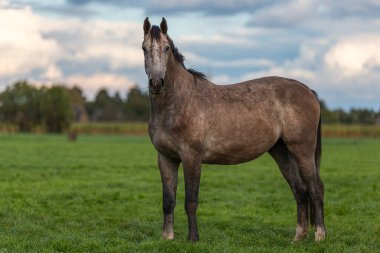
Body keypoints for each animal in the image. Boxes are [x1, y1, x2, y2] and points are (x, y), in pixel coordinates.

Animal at [141, 16, 326, 242]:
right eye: (144, 48)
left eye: (166, 48)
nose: (156, 83)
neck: (179, 102)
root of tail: (308, 91)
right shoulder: (166, 158)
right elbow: (168, 200)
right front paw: (167, 237)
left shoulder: (192, 157)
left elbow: (191, 201)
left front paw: (193, 238)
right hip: (281, 151)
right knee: (300, 190)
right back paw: (298, 237)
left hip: (302, 150)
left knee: (315, 188)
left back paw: (320, 236)